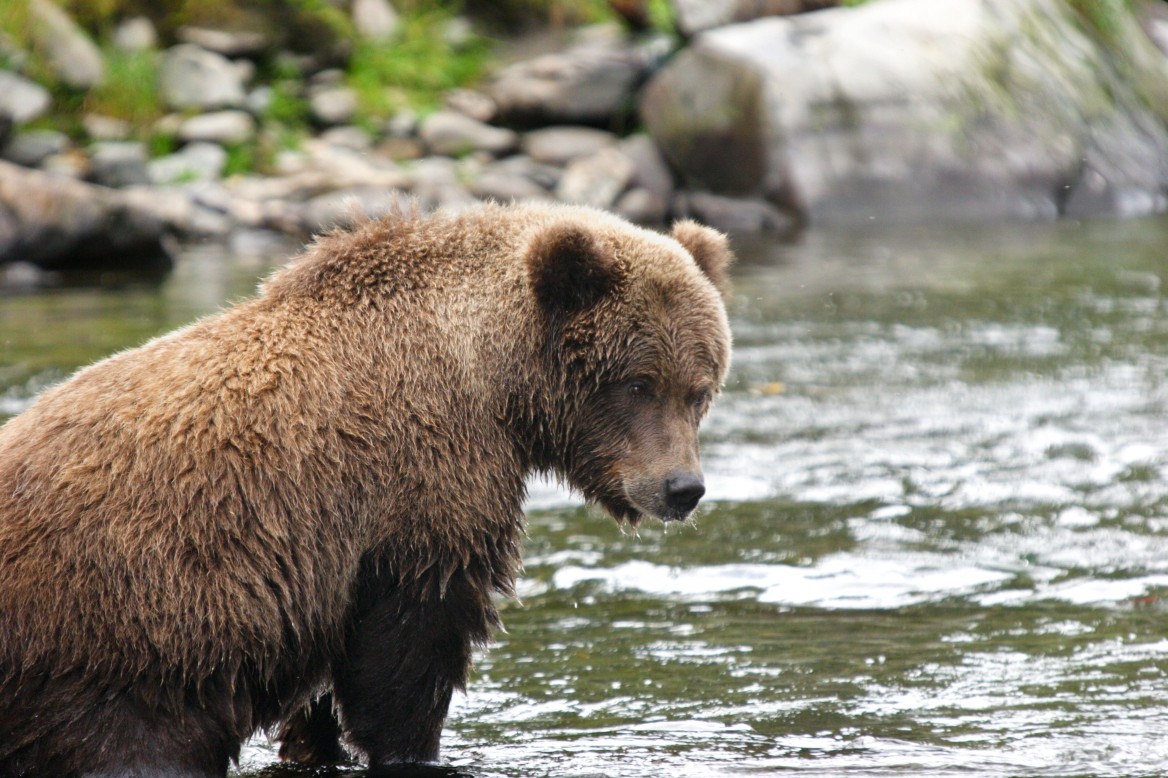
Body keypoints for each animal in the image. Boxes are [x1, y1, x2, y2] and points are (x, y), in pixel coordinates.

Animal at [0, 200, 728, 775]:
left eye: (700, 389)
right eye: (638, 383)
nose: (682, 487)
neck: (493, 381)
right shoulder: (419, 484)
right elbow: (409, 648)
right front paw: (410, 748)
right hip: (119, 630)